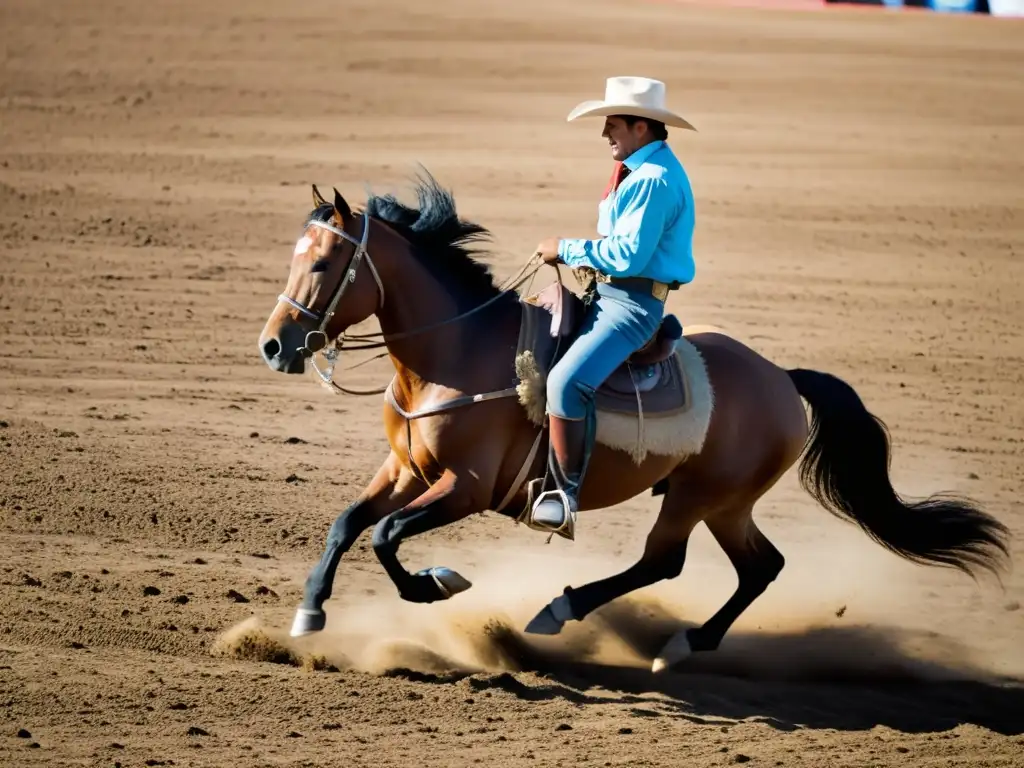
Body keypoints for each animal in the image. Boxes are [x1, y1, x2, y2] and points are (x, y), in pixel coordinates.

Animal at [256, 174, 1007, 671]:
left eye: (325, 262)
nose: (273, 345)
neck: (457, 351)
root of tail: (781, 377)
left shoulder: (465, 488)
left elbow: (386, 535)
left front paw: (437, 583)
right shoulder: (407, 468)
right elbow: (349, 523)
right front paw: (309, 612)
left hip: (701, 496)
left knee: (664, 561)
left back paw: (568, 613)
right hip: (724, 504)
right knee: (760, 566)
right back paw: (689, 640)